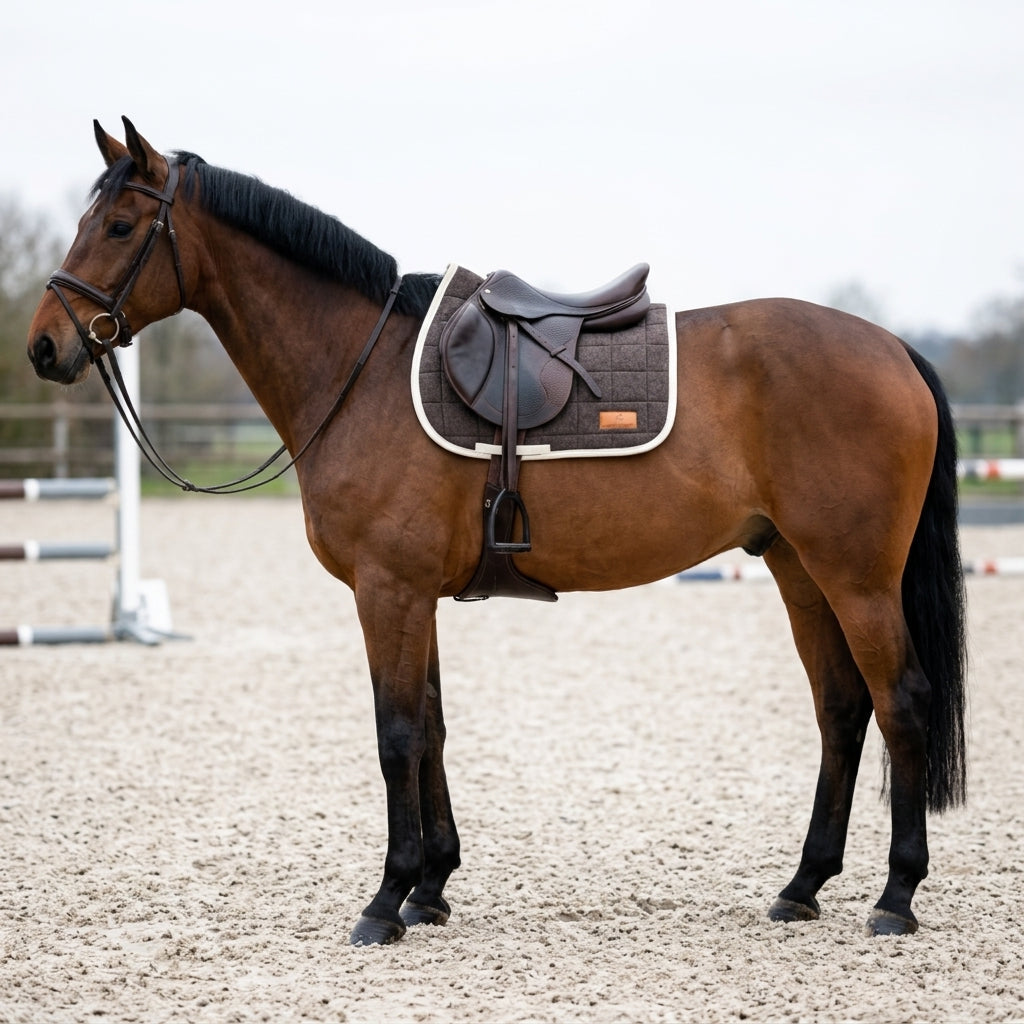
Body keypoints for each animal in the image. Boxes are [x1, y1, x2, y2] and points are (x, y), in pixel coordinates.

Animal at [28, 117, 967, 945]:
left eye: (119, 226)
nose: (43, 347)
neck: (361, 371)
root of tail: (893, 348)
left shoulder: (389, 591)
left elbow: (397, 734)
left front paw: (386, 898)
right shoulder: (415, 594)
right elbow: (432, 727)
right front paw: (430, 888)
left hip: (856, 577)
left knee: (902, 702)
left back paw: (896, 896)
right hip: (799, 568)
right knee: (842, 708)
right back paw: (803, 886)